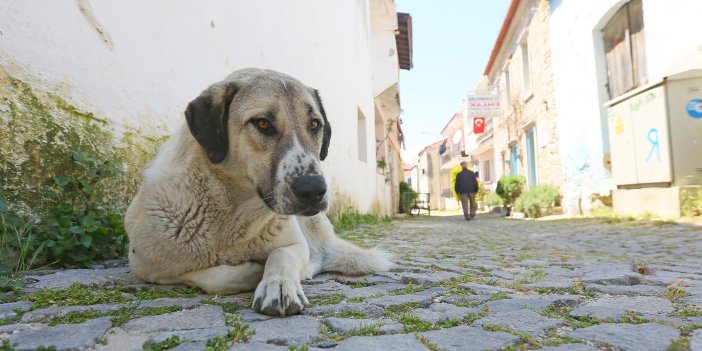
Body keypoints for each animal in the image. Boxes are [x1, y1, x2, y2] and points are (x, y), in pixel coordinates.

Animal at [126, 68, 396, 316]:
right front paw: (255, 270)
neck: (233, 217)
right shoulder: (145, 268)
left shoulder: (294, 245)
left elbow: (281, 256)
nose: (314, 190)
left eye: (314, 124)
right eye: (263, 123)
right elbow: (218, 277)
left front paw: (278, 286)